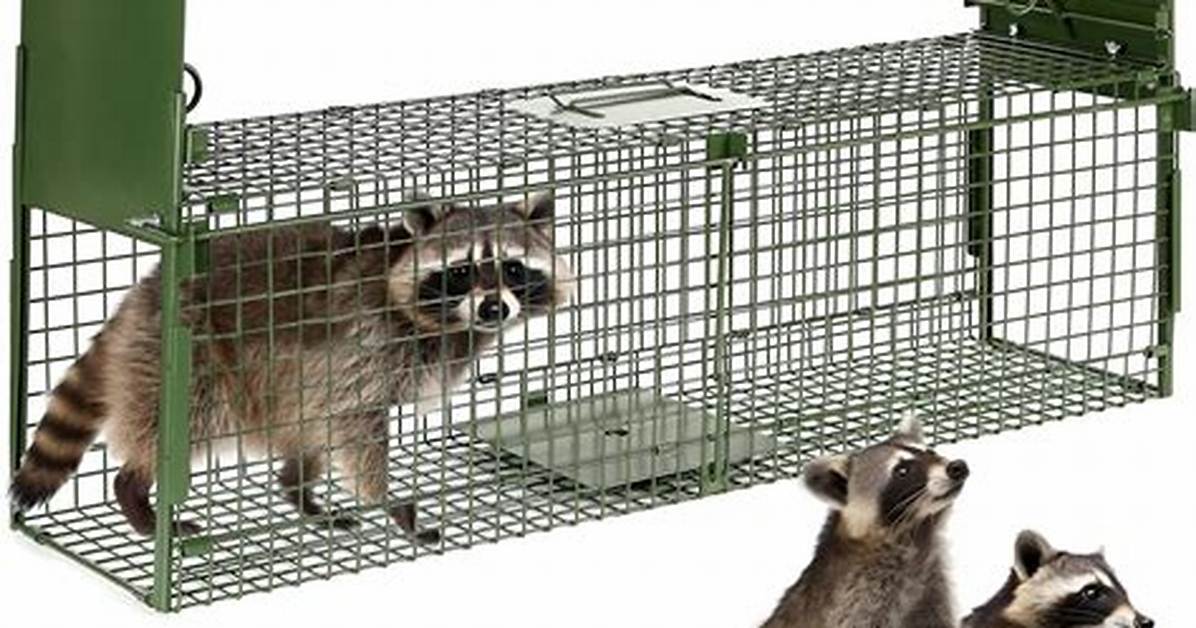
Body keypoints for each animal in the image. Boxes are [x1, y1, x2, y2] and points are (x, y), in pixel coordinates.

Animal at [10, 193, 572, 541]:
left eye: (513, 268)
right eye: (459, 272)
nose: (493, 308)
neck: (448, 324)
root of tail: (144, 290)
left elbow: (333, 425)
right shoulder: (364, 347)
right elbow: (357, 431)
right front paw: (393, 503)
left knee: (306, 425)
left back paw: (298, 491)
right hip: (190, 358)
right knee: (185, 423)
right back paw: (135, 491)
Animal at [761, 412, 970, 628]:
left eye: (931, 452)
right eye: (902, 471)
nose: (958, 467)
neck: (917, 535)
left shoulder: (931, 592)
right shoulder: (857, 600)